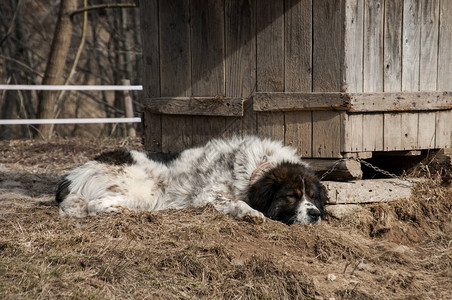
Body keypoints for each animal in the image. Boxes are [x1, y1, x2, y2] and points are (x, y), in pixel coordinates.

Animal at [56, 136, 328, 225]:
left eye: (313, 197)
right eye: (291, 196)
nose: (315, 214)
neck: (255, 167)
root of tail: (75, 174)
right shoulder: (208, 196)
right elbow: (238, 203)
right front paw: (251, 213)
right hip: (147, 190)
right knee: (94, 205)